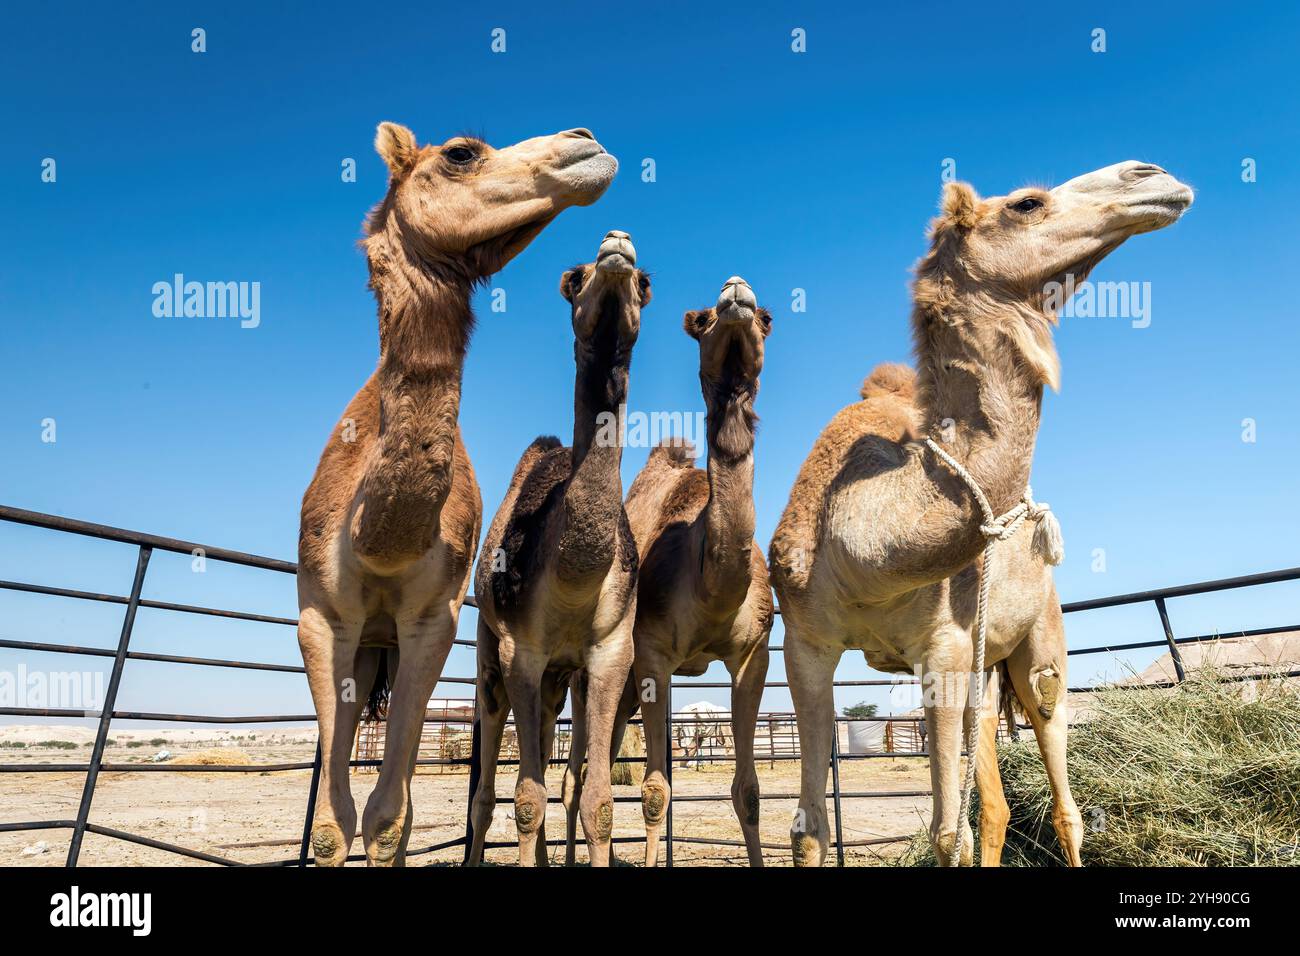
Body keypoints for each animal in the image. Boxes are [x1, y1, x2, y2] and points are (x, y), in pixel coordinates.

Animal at [297, 121, 616, 868]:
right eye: (462, 152)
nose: (587, 140)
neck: (375, 537)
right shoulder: (319, 617)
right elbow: (331, 821)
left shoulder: (432, 621)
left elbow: (389, 816)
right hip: (364, 645)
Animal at [467, 230, 650, 868]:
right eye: (575, 278)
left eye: (645, 282)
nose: (617, 243)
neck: (573, 575)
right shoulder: (521, 651)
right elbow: (524, 797)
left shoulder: (610, 652)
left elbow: (596, 800)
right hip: (489, 654)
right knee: (490, 781)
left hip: (560, 678)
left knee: (552, 763)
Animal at [564, 274, 774, 868]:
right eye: (702, 320)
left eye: (767, 319)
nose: (736, 290)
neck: (711, 587)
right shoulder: (654, 655)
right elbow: (656, 790)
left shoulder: (752, 657)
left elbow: (748, 791)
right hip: (595, 673)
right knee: (573, 776)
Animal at [764, 158, 1190, 868]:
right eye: (1026, 203)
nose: (1154, 176)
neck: (864, 541)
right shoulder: (806, 645)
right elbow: (810, 829)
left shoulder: (943, 646)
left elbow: (946, 833)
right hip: (983, 670)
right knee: (992, 801)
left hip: (1038, 640)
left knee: (1057, 777)